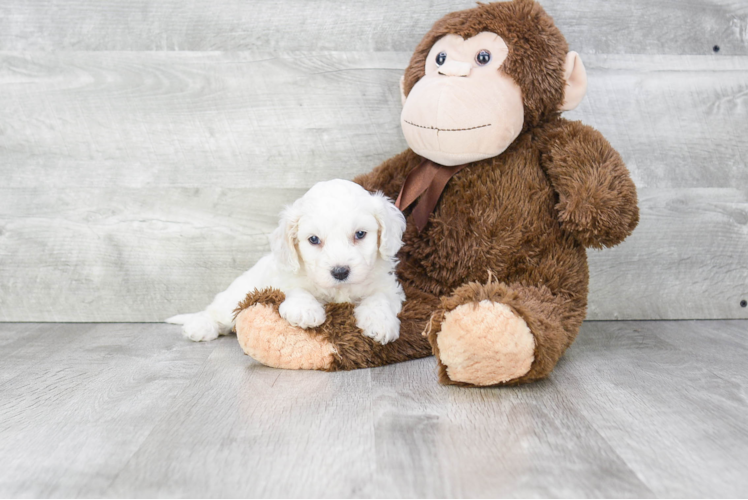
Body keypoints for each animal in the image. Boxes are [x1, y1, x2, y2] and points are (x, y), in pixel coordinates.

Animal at [167, 178, 406, 346]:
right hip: (234, 298)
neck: (339, 291)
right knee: (214, 311)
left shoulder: (387, 286)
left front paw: (380, 322)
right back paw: (200, 326)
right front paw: (305, 310)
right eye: (313, 239)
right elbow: (297, 290)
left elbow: (379, 297)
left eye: (360, 234)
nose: (340, 272)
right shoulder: (284, 279)